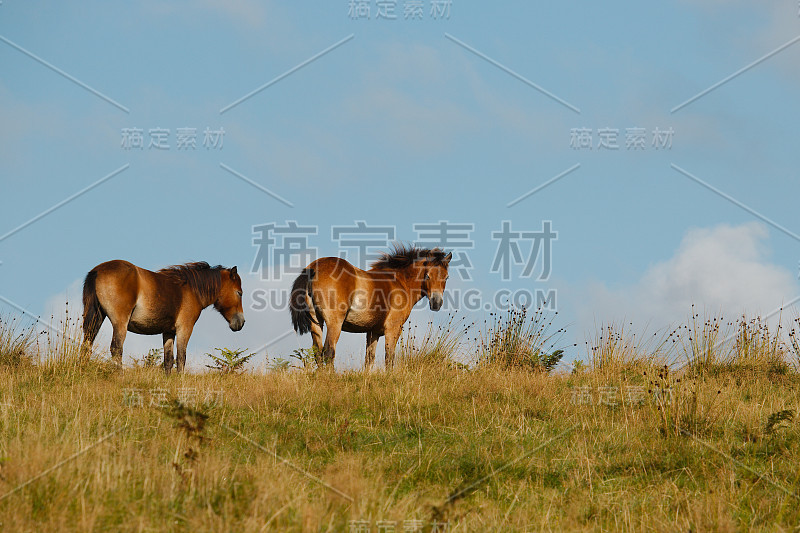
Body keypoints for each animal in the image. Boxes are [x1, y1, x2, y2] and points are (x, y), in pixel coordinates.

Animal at [81, 260, 245, 372]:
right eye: (239, 293)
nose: (241, 322)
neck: (191, 290)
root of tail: (97, 271)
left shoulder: (168, 332)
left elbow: (168, 360)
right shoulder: (185, 329)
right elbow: (181, 358)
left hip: (96, 318)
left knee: (87, 344)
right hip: (120, 323)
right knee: (116, 348)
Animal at [290, 243, 454, 368]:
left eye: (446, 277)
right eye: (427, 276)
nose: (436, 303)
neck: (399, 281)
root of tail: (313, 268)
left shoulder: (373, 332)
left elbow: (369, 359)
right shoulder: (393, 329)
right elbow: (389, 358)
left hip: (316, 322)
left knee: (317, 353)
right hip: (334, 323)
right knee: (329, 352)